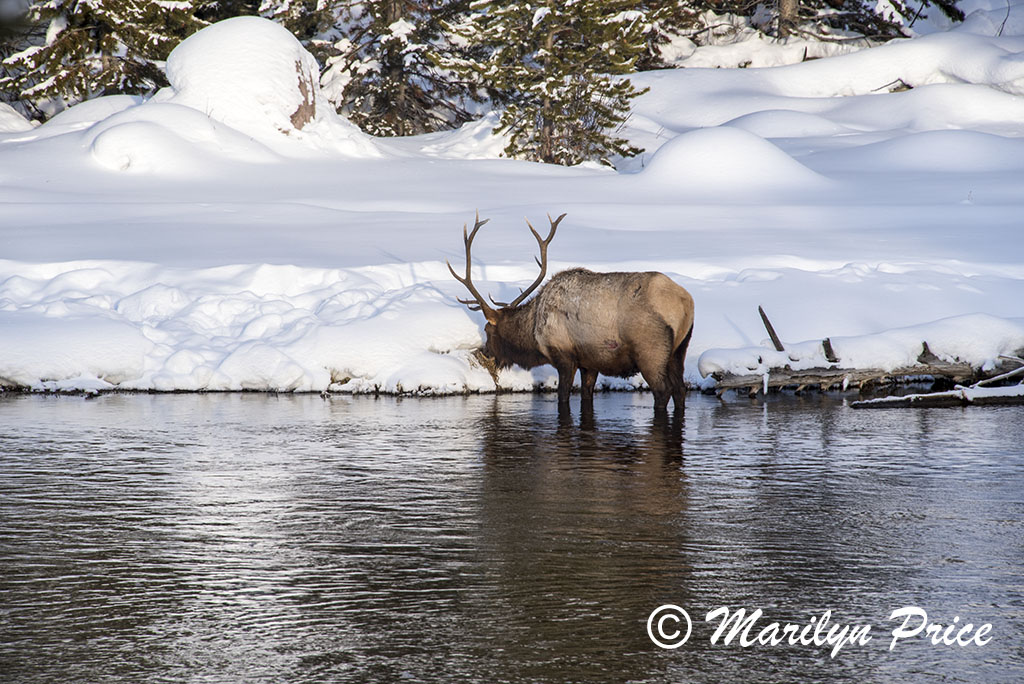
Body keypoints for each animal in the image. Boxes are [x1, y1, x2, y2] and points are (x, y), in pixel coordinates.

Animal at [448, 213, 695, 412]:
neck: (533, 333)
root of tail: (685, 303)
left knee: (663, 391)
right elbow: (586, 395)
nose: (483, 354)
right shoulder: (589, 362)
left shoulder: (564, 356)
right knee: (680, 390)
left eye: (487, 331)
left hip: (650, 351)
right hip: (678, 350)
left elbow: (563, 398)